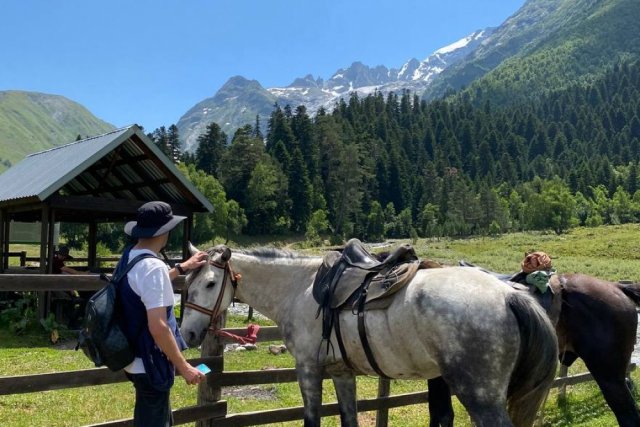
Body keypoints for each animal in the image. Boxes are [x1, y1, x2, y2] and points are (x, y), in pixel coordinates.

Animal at [179, 244, 556, 427]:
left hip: (479, 394)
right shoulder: (342, 372)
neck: (300, 287)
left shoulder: (308, 370)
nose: (189, 334)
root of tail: (509, 295)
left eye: (210, 283)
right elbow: (348, 419)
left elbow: (312, 420)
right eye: (187, 283)